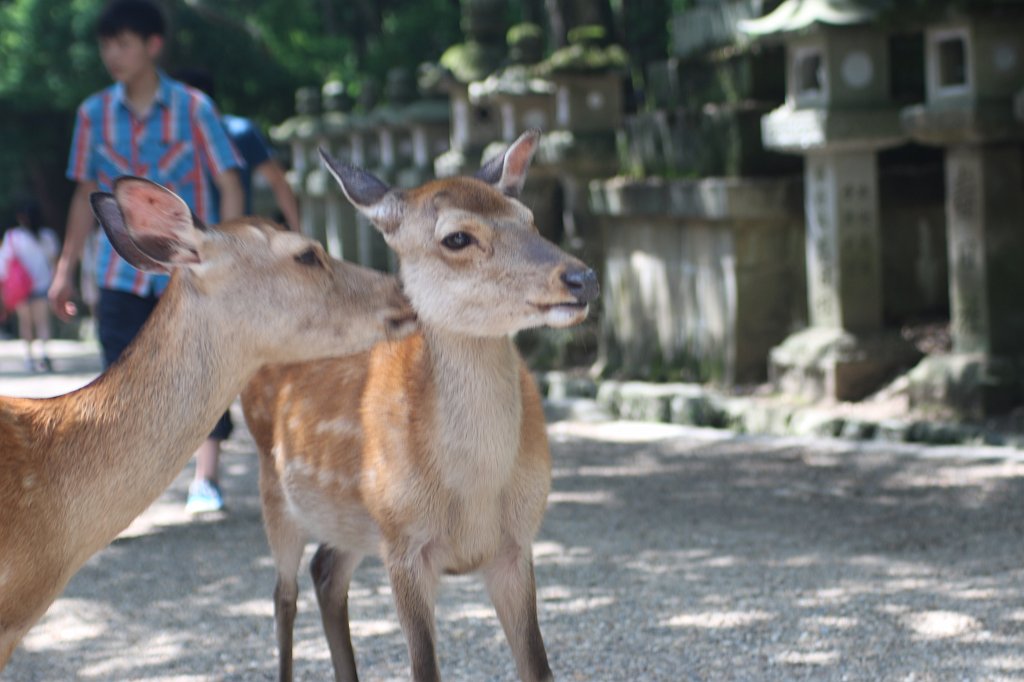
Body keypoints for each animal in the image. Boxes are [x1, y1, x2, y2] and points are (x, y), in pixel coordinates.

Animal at [239, 129, 598, 679]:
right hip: (275, 490)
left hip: (353, 522)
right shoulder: (403, 544)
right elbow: (424, 668)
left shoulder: (517, 544)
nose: (582, 278)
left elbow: (538, 667)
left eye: (530, 219)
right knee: (284, 594)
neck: (473, 490)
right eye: (457, 237)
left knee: (325, 570)